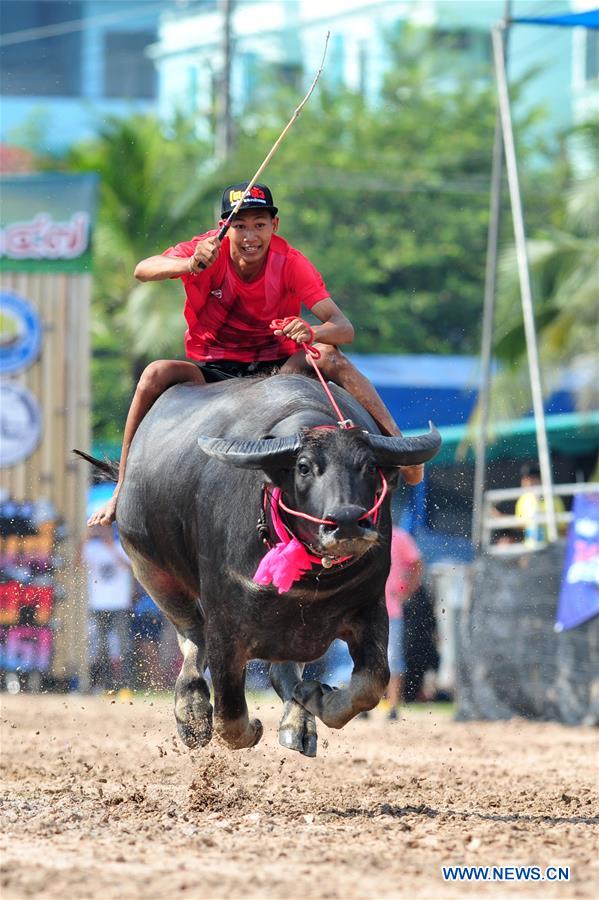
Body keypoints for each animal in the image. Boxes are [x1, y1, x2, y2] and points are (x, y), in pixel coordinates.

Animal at [77, 374, 440, 757]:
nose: (347, 522)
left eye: (369, 466)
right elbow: (230, 717)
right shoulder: (226, 626)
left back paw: (298, 722)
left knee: (282, 670)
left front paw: (314, 695)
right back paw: (192, 714)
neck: (313, 579)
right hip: (150, 569)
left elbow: (371, 683)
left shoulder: (369, 607)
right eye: (304, 467)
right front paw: (248, 728)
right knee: (192, 634)